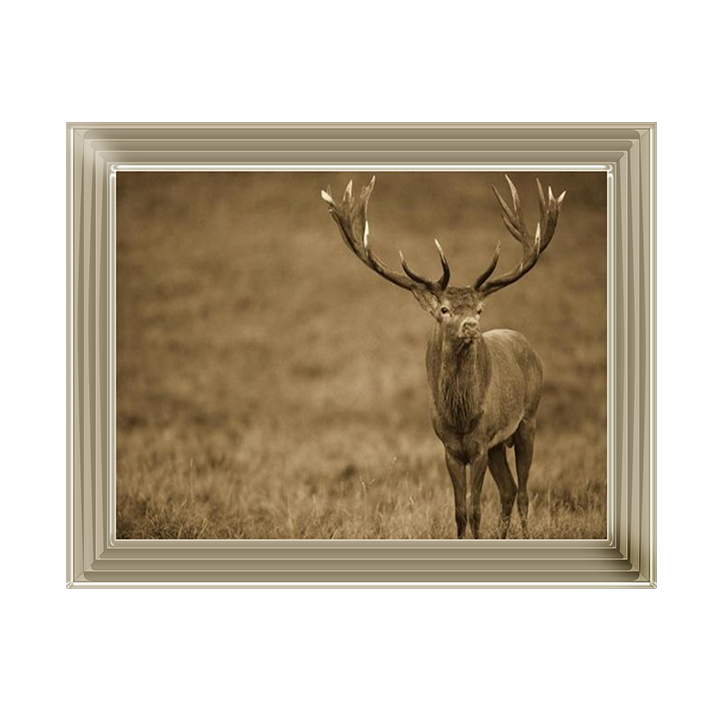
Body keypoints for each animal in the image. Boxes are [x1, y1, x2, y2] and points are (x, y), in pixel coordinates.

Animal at [321, 175, 565, 539]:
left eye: (479, 309)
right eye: (444, 309)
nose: (471, 326)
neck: (460, 416)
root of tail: (528, 346)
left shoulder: (479, 444)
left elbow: (476, 509)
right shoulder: (450, 447)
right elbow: (460, 511)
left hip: (528, 420)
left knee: (522, 492)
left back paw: (524, 534)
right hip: (499, 445)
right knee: (508, 490)